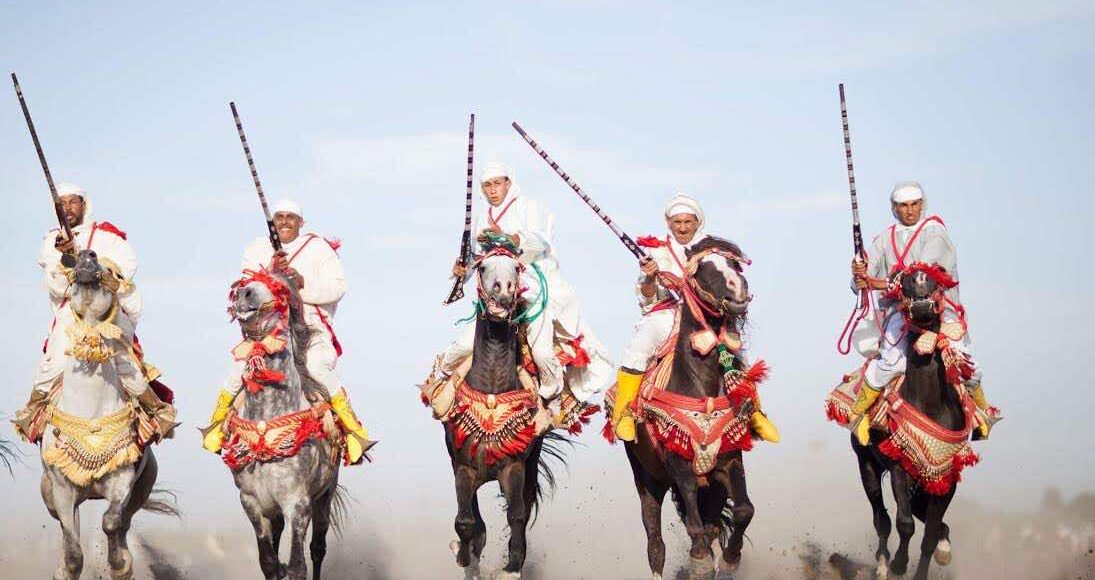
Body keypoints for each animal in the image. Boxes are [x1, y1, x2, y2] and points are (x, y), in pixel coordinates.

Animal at [38, 248, 176, 577]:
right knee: (68, 528)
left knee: (123, 523)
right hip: (49, 493)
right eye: (74, 268)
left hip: (142, 487)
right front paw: (66, 569)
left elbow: (112, 521)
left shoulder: (122, 480)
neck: (91, 413)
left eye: (116, 273)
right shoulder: (61, 488)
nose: (86, 258)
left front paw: (120, 564)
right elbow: (72, 550)